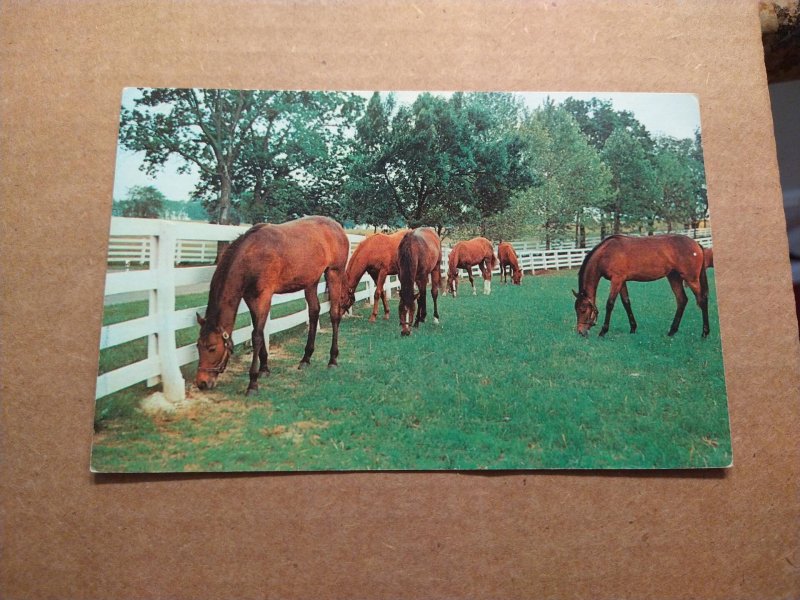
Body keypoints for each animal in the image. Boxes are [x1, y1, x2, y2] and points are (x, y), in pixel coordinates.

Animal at [195, 214, 348, 394]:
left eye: (212, 348)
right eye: (198, 346)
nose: (202, 383)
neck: (252, 255)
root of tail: (338, 227)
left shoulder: (263, 297)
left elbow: (256, 336)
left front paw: (253, 382)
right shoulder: (250, 298)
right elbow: (259, 331)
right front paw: (264, 368)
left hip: (334, 274)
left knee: (334, 315)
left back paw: (333, 360)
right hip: (311, 281)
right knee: (314, 312)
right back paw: (306, 358)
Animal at [572, 234, 708, 338]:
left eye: (583, 309)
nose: (580, 332)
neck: (606, 253)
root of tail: (697, 244)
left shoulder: (616, 280)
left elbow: (610, 304)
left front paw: (603, 331)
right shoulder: (622, 281)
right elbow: (626, 303)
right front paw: (633, 328)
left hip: (691, 279)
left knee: (702, 300)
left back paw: (705, 333)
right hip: (674, 277)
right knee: (682, 300)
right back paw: (672, 331)